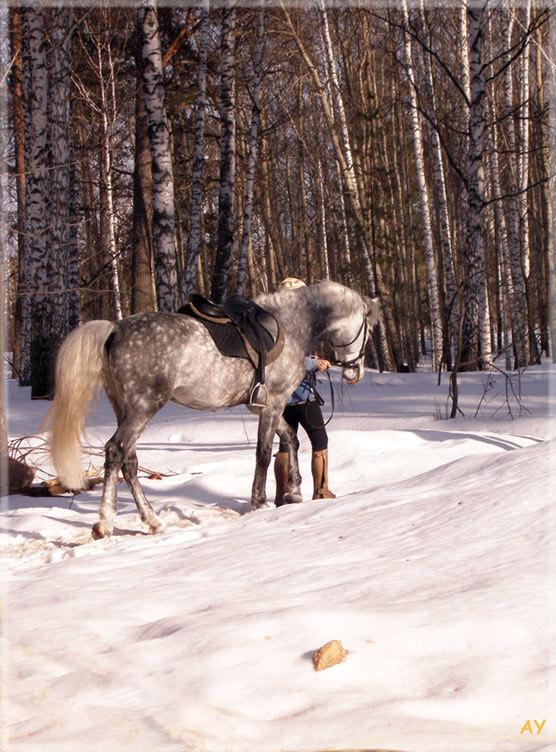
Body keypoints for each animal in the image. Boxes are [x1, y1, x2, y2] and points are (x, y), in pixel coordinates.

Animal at [47, 280, 380, 536]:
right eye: (369, 330)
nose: (355, 373)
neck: (293, 325)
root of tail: (114, 329)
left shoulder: (267, 406)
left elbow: (290, 440)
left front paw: (294, 492)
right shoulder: (273, 403)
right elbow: (263, 452)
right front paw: (259, 501)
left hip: (126, 409)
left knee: (128, 461)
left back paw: (152, 520)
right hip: (144, 407)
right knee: (116, 451)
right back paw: (105, 522)